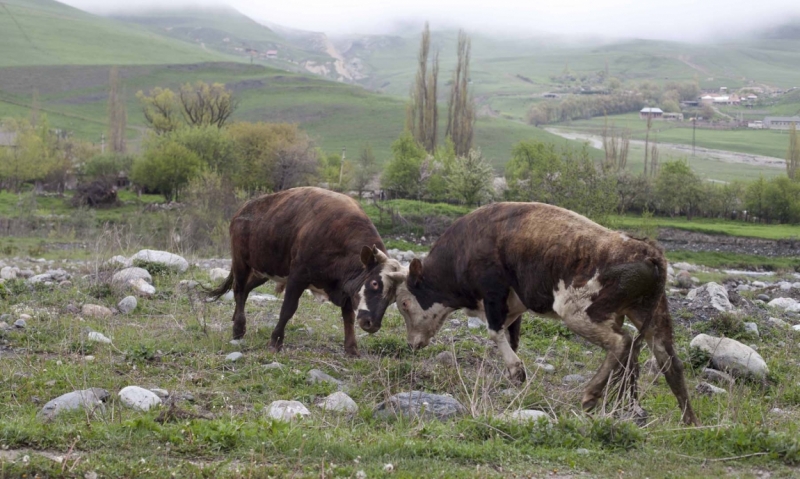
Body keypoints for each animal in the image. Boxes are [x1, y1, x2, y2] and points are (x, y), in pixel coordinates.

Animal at [209, 188, 406, 356]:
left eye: (393, 297)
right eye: (374, 283)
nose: (372, 324)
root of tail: (243, 209)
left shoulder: (347, 289)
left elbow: (348, 317)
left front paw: (351, 349)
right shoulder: (298, 276)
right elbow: (288, 309)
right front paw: (275, 342)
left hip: (263, 270)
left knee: (246, 290)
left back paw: (236, 320)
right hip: (241, 262)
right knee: (240, 290)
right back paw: (238, 329)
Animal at [396, 202, 696, 424]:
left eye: (404, 304)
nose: (411, 343)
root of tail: (646, 249)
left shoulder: (494, 293)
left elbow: (495, 333)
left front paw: (517, 371)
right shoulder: (514, 305)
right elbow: (512, 336)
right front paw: (513, 376)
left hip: (578, 311)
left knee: (622, 343)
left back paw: (591, 395)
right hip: (652, 316)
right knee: (668, 361)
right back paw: (686, 420)